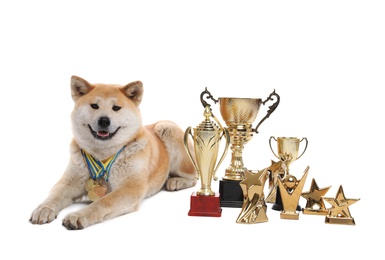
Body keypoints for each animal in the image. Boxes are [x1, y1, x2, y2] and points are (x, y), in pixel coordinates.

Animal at [30, 75, 196, 230]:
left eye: (116, 108)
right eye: (94, 106)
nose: (104, 120)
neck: (103, 156)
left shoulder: (129, 189)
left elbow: (102, 202)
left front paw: (78, 215)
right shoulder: (69, 182)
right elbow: (54, 195)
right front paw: (43, 209)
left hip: (166, 127)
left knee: (194, 177)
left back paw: (176, 181)